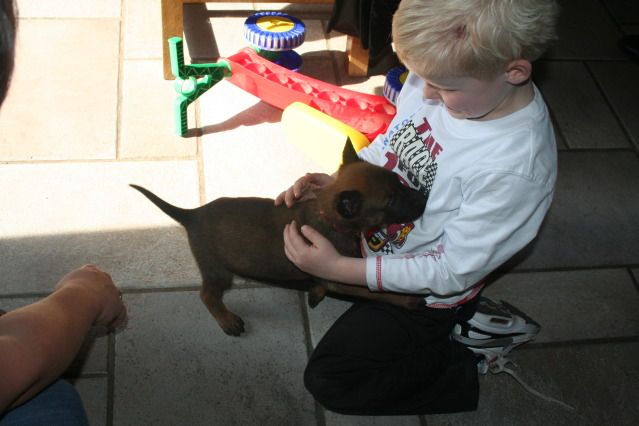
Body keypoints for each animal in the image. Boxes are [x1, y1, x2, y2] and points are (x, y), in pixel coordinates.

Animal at [131, 142, 426, 336]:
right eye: (390, 201)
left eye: (398, 181)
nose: (424, 197)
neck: (326, 213)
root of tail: (192, 214)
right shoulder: (338, 277)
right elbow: (373, 290)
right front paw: (408, 299)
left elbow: (323, 285)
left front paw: (315, 292)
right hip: (217, 271)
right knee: (207, 295)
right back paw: (227, 320)